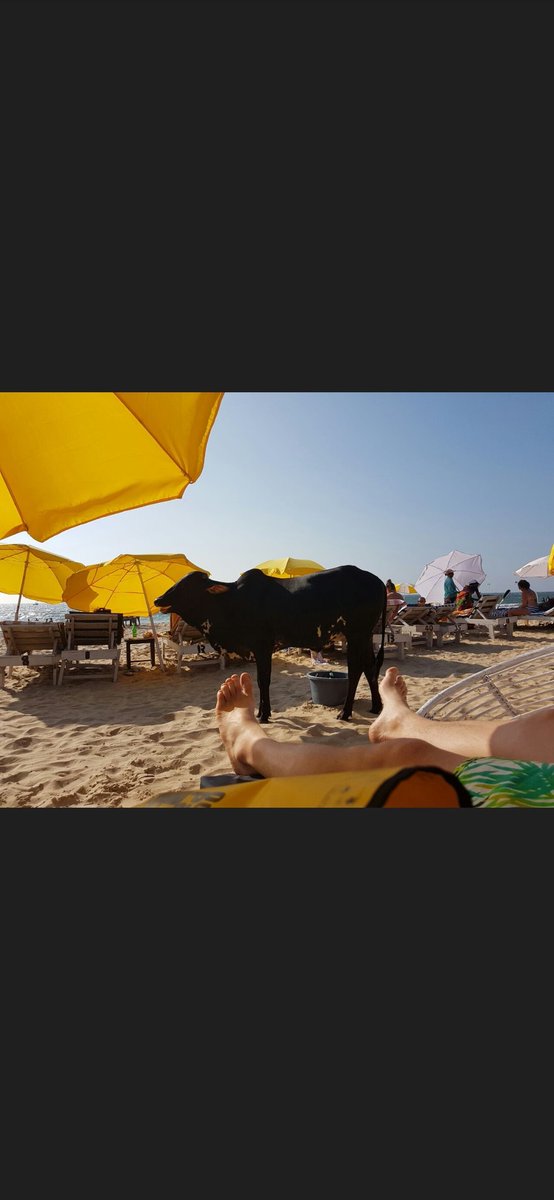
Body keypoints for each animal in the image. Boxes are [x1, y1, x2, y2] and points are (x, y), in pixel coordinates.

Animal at [156, 565, 387, 724]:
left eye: (187, 586)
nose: (158, 599)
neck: (232, 601)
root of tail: (377, 581)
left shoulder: (262, 647)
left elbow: (263, 680)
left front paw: (263, 715)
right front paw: (261, 712)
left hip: (356, 635)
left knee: (356, 670)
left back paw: (345, 712)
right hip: (365, 636)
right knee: (370, 667)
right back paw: (376, 707)